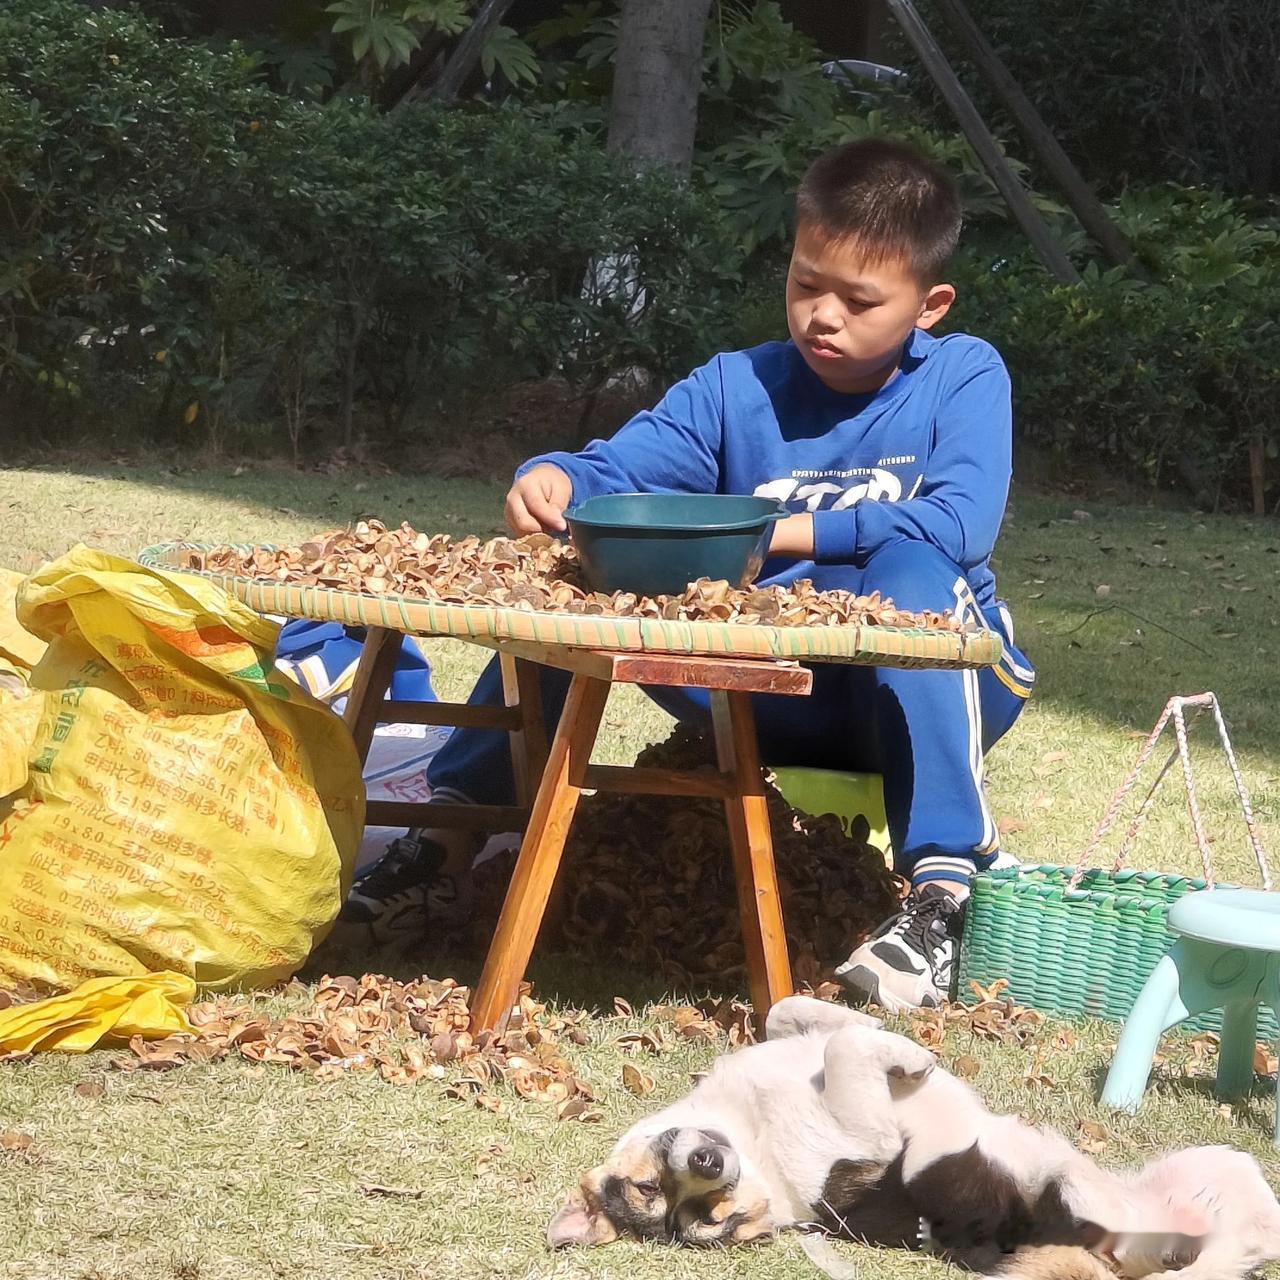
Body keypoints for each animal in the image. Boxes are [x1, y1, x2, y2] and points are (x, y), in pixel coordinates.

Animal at [552, 993, 1280, 1274]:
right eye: (702, 1220)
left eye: (648, 1186)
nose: (707, 1163)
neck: (754, 1143)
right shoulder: (864, 1138)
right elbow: (847, 1046)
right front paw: (912, 1056)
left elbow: (801, 1015)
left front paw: (886, 1031)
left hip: (1222, 1166)